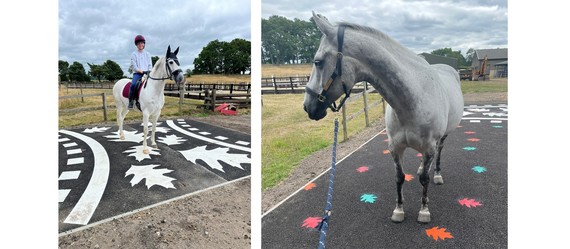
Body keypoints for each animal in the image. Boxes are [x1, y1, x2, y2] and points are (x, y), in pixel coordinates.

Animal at [302, 12, 462, 224]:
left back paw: (436, 175)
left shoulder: (429, 147)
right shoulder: (395, 147)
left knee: (439, 153)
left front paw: (424, 211)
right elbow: (400, 177)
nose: (307, 106)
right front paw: (399, 210)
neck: (414, 98)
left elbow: (424, 180)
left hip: (442, 138)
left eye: (318, 62)